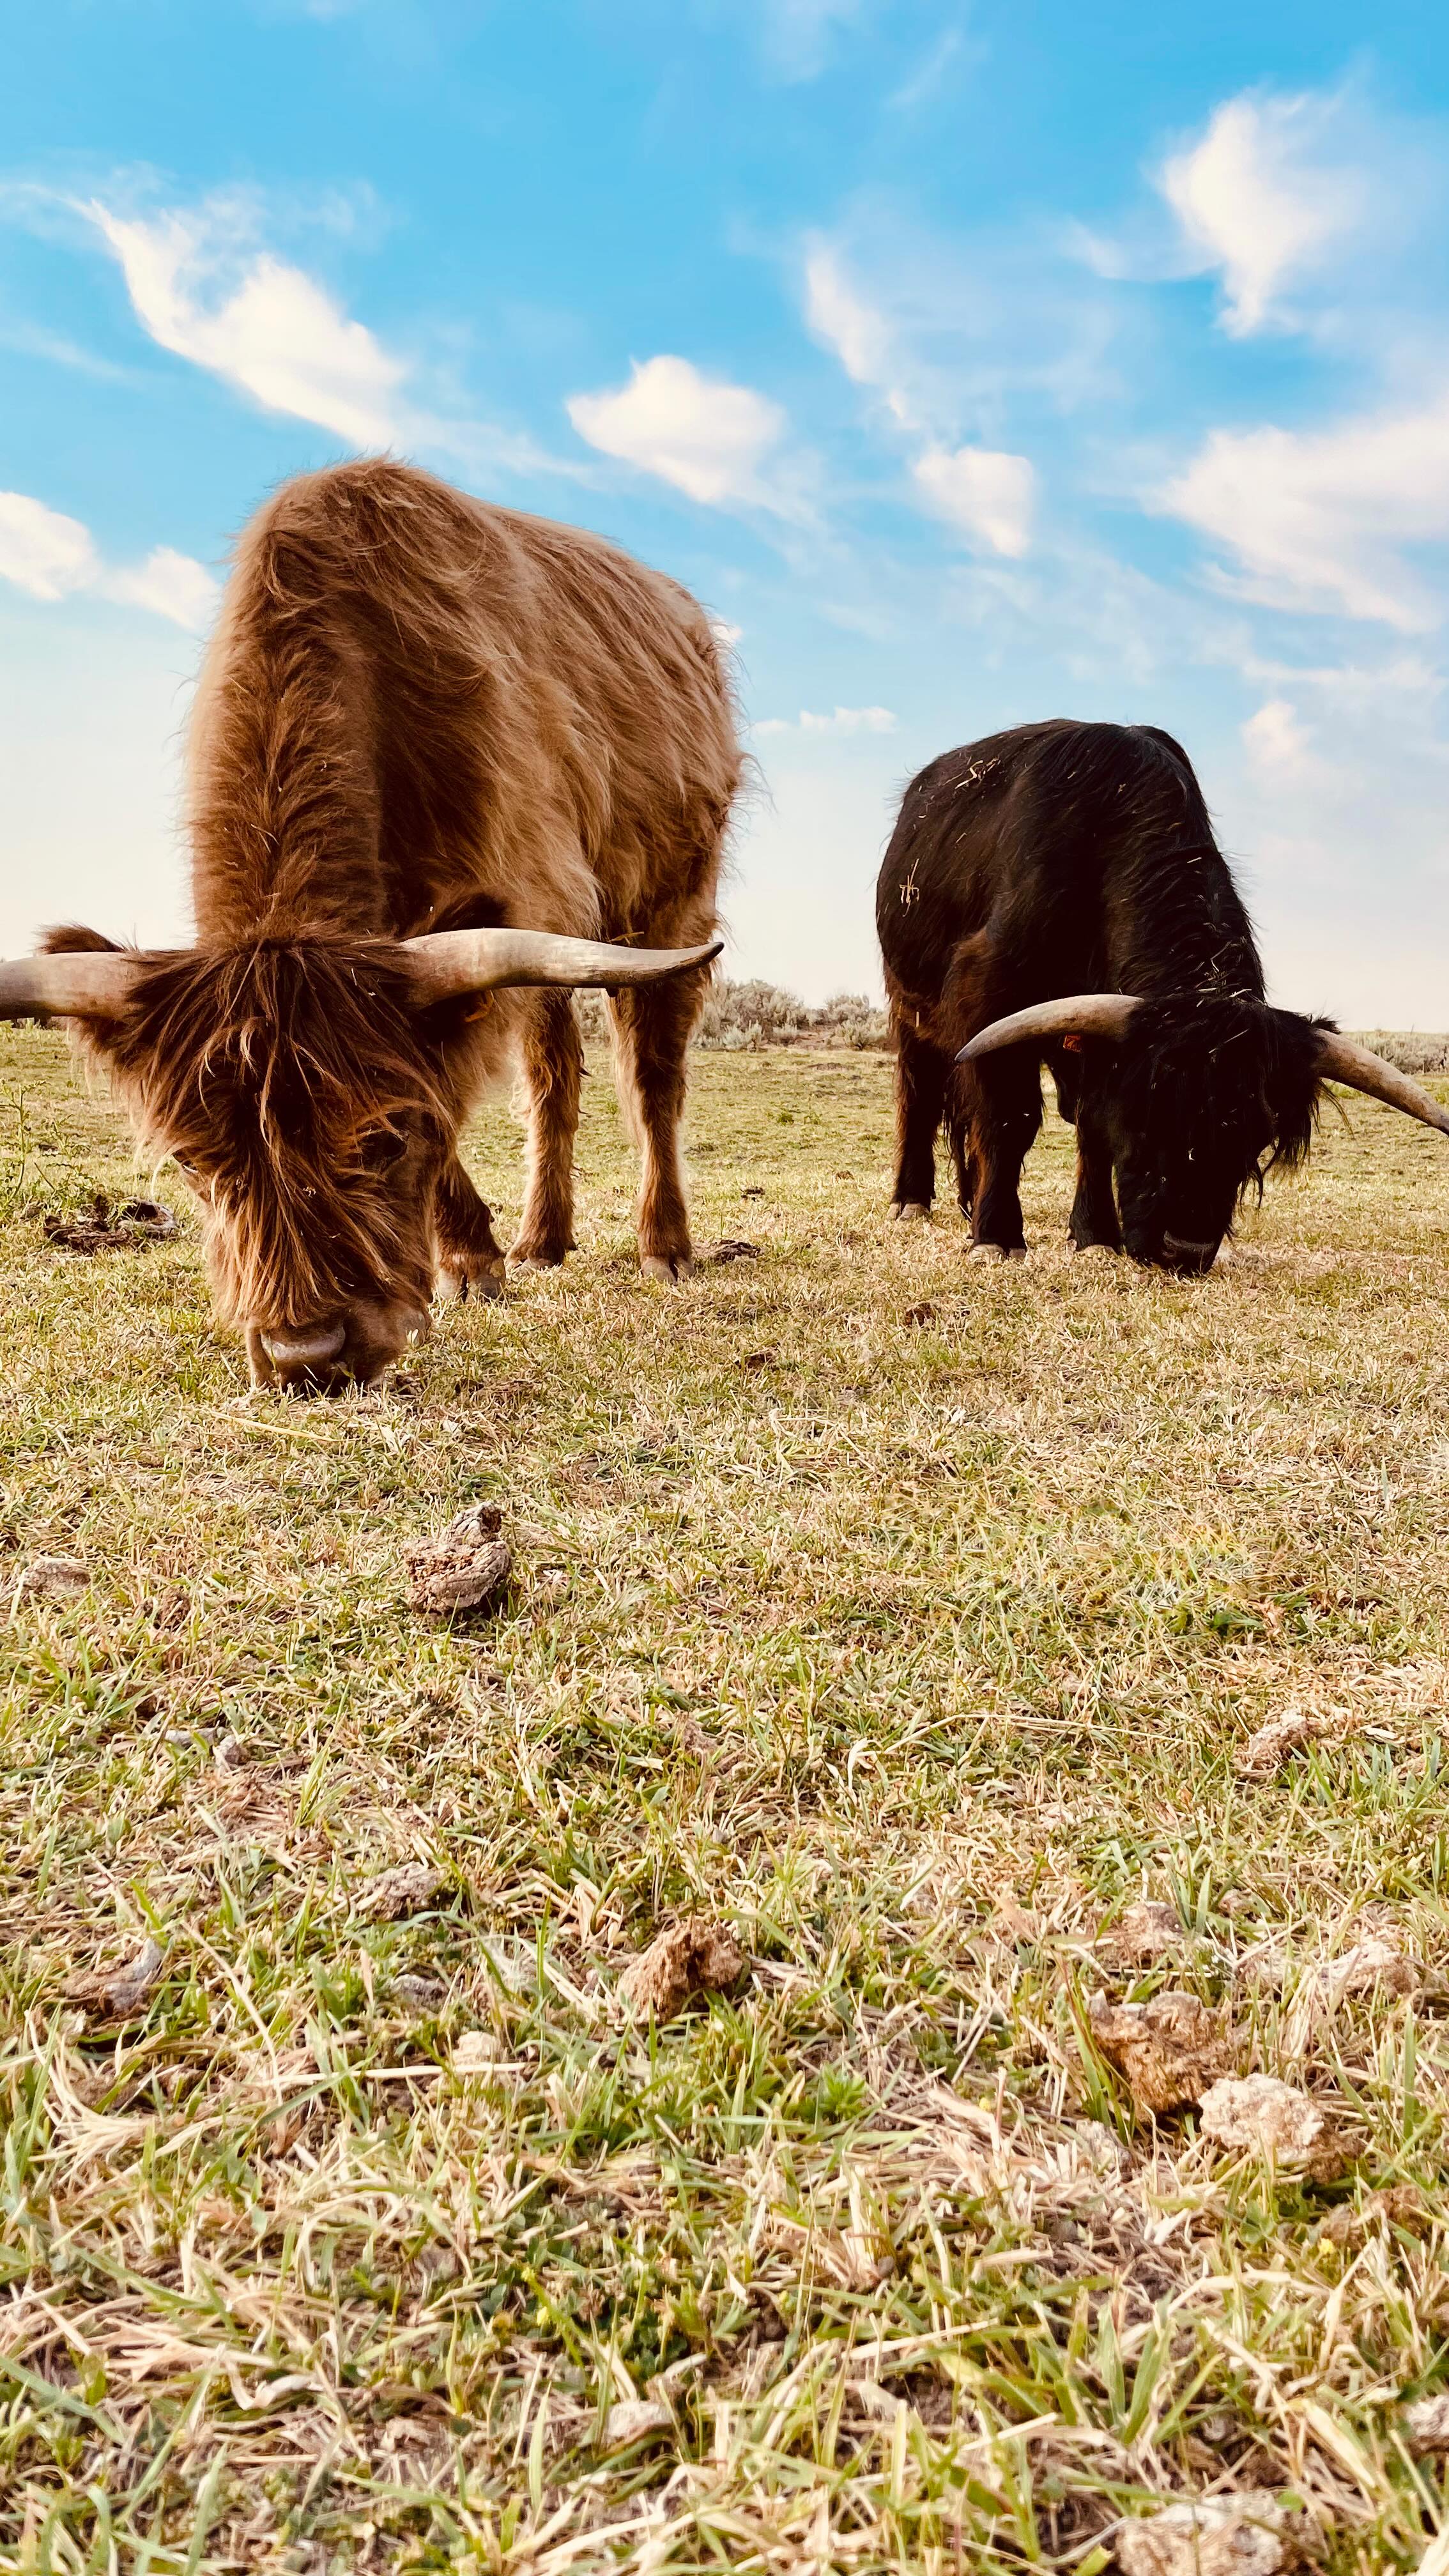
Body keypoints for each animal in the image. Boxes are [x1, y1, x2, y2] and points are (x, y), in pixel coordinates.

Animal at [0, 459, 741, 1388]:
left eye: (385, 1137)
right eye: (192, 1161)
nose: (305, 1353)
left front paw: (471, 1263)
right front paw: (474, 1262)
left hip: (670, 895)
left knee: (652, 1071)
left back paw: (665, 1246)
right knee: (553, 1075)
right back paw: (542, 1240)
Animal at [877, 718, 1449, 1273]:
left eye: (1257, 1133)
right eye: (1151, 1116)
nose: (1184, 1250)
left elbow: (1092, 1129)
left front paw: (1094, 1237)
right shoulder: (991, 1001)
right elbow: (1007, 1119)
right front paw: (997, 1238)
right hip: (911, 1010)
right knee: (920, 1095)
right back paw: (912, 1200)